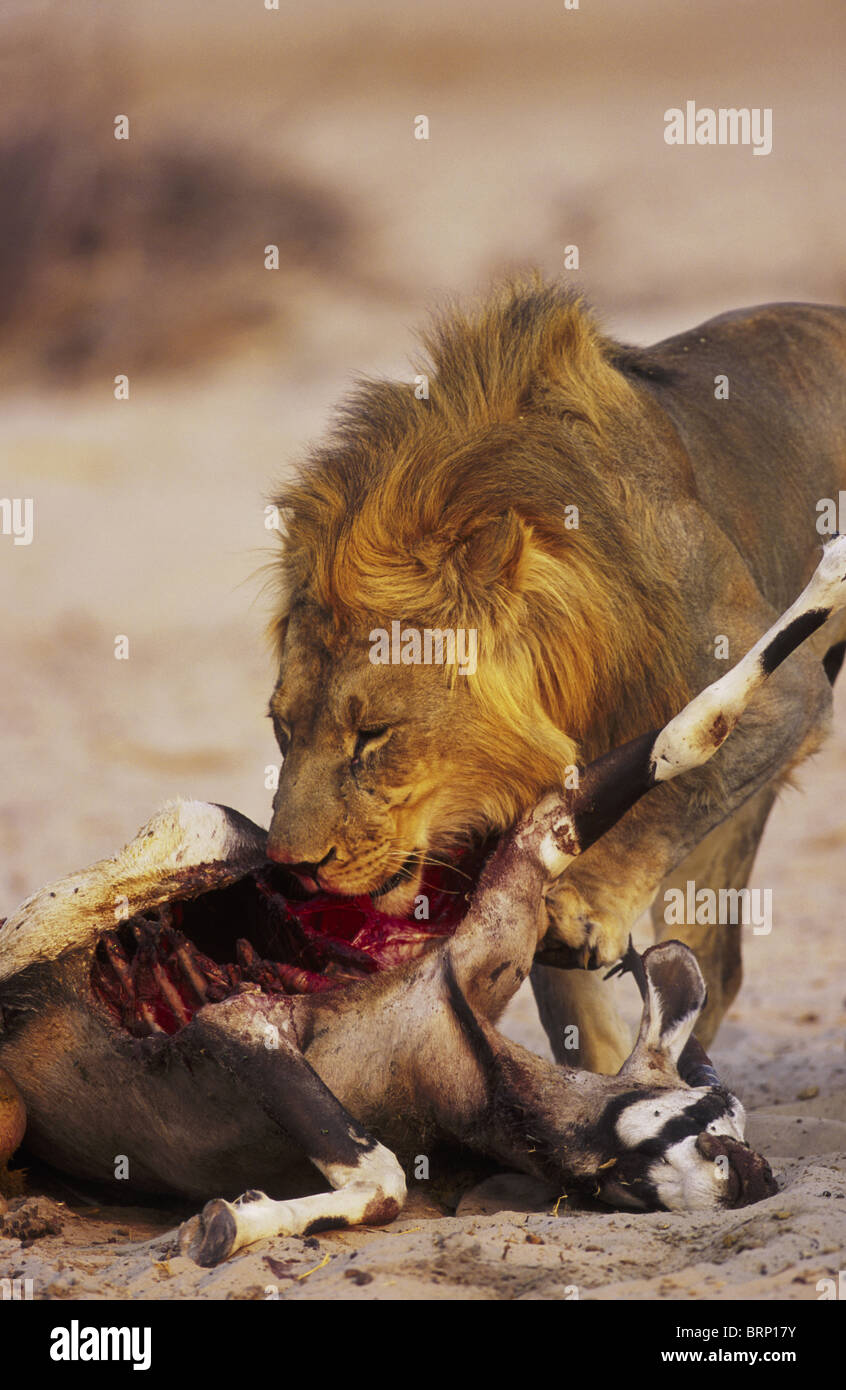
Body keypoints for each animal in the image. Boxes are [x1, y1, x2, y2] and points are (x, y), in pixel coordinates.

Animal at [266, 279, 846, 1073]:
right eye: (281, 728)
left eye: (374, 735)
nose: (291, 869)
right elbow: (579, 1022)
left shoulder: (781, 692)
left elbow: (682, 774)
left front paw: (585, 904)